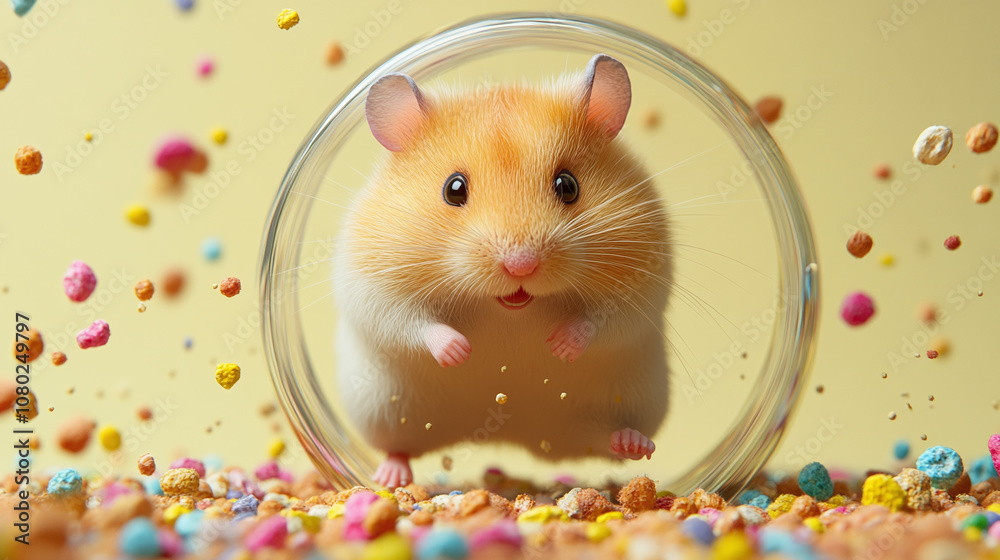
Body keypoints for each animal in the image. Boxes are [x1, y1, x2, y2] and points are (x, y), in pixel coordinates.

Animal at [333, 54, 672, 489]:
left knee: (607, 441)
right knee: (400, 447)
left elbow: (605, 319)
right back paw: (390, 478)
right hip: (386, 412)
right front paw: (461, 351)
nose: (521, 264)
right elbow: (411, 323)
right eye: (453, 189)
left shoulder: (645, 280)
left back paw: (633, 442)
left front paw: (558, 345)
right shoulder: (372, 285)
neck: (508, 308)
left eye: (568, 185)